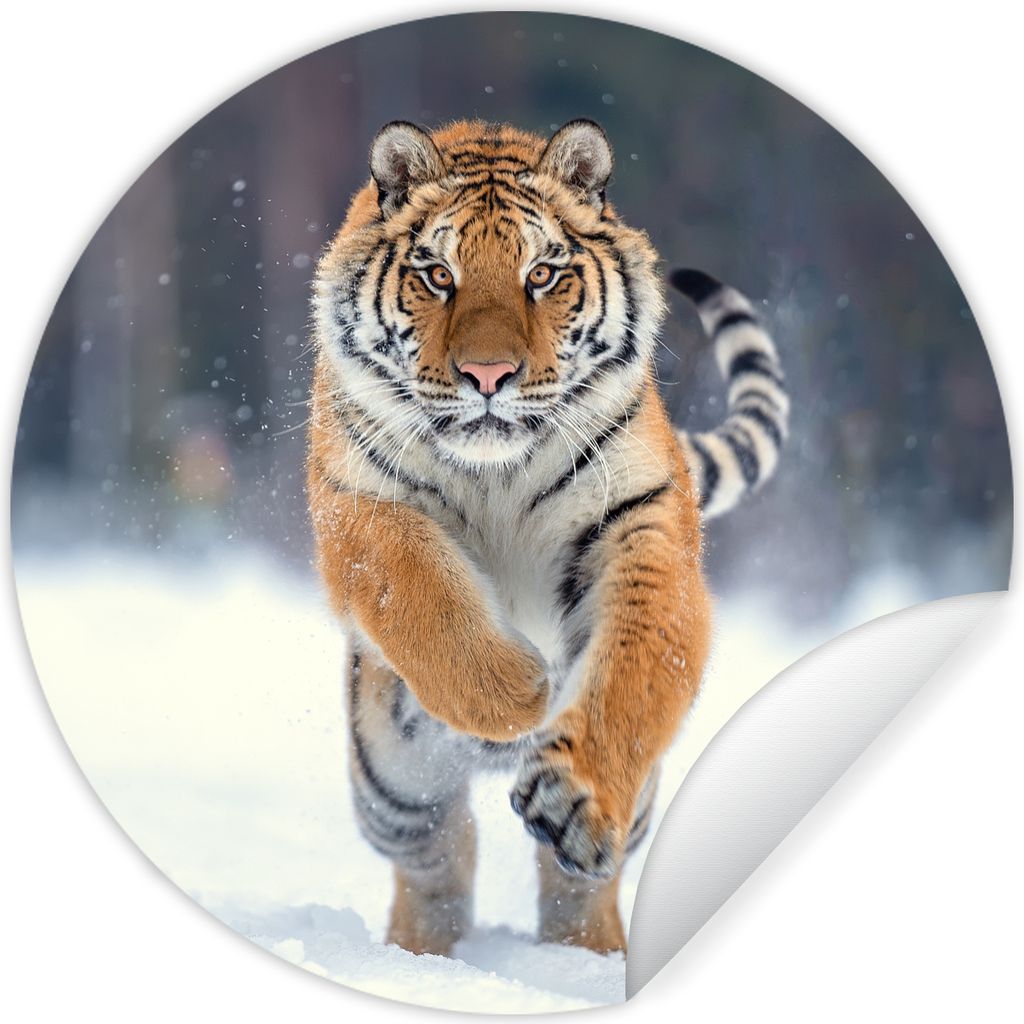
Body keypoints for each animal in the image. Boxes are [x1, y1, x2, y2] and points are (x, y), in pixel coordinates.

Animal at [306, 119, 787, 957]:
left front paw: (575, 793)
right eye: (437, 274)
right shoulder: (356, 502)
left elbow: (636, 667)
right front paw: (518, 693)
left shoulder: (642, 522)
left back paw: (587, 952)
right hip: (392, 786)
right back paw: (421, 956)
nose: (488, 375)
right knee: (439, 856)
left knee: (573, 883)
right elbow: (421, 594)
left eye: (542, 275)